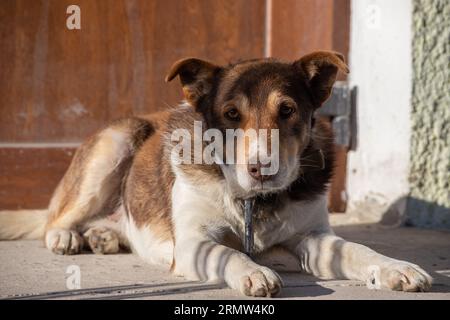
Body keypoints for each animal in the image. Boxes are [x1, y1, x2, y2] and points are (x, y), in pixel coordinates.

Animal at [0, 50, 432, 298]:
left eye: (287, 110)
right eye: (231, 114)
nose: (261, 168)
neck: (253, 201)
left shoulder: (312, 237)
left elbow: (356, 250)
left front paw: (397, 268)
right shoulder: (193, 244)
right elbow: (227, 252)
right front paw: (253, 273)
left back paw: (104, 236)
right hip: (116, 141)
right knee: (55, 218)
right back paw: (67, 235)